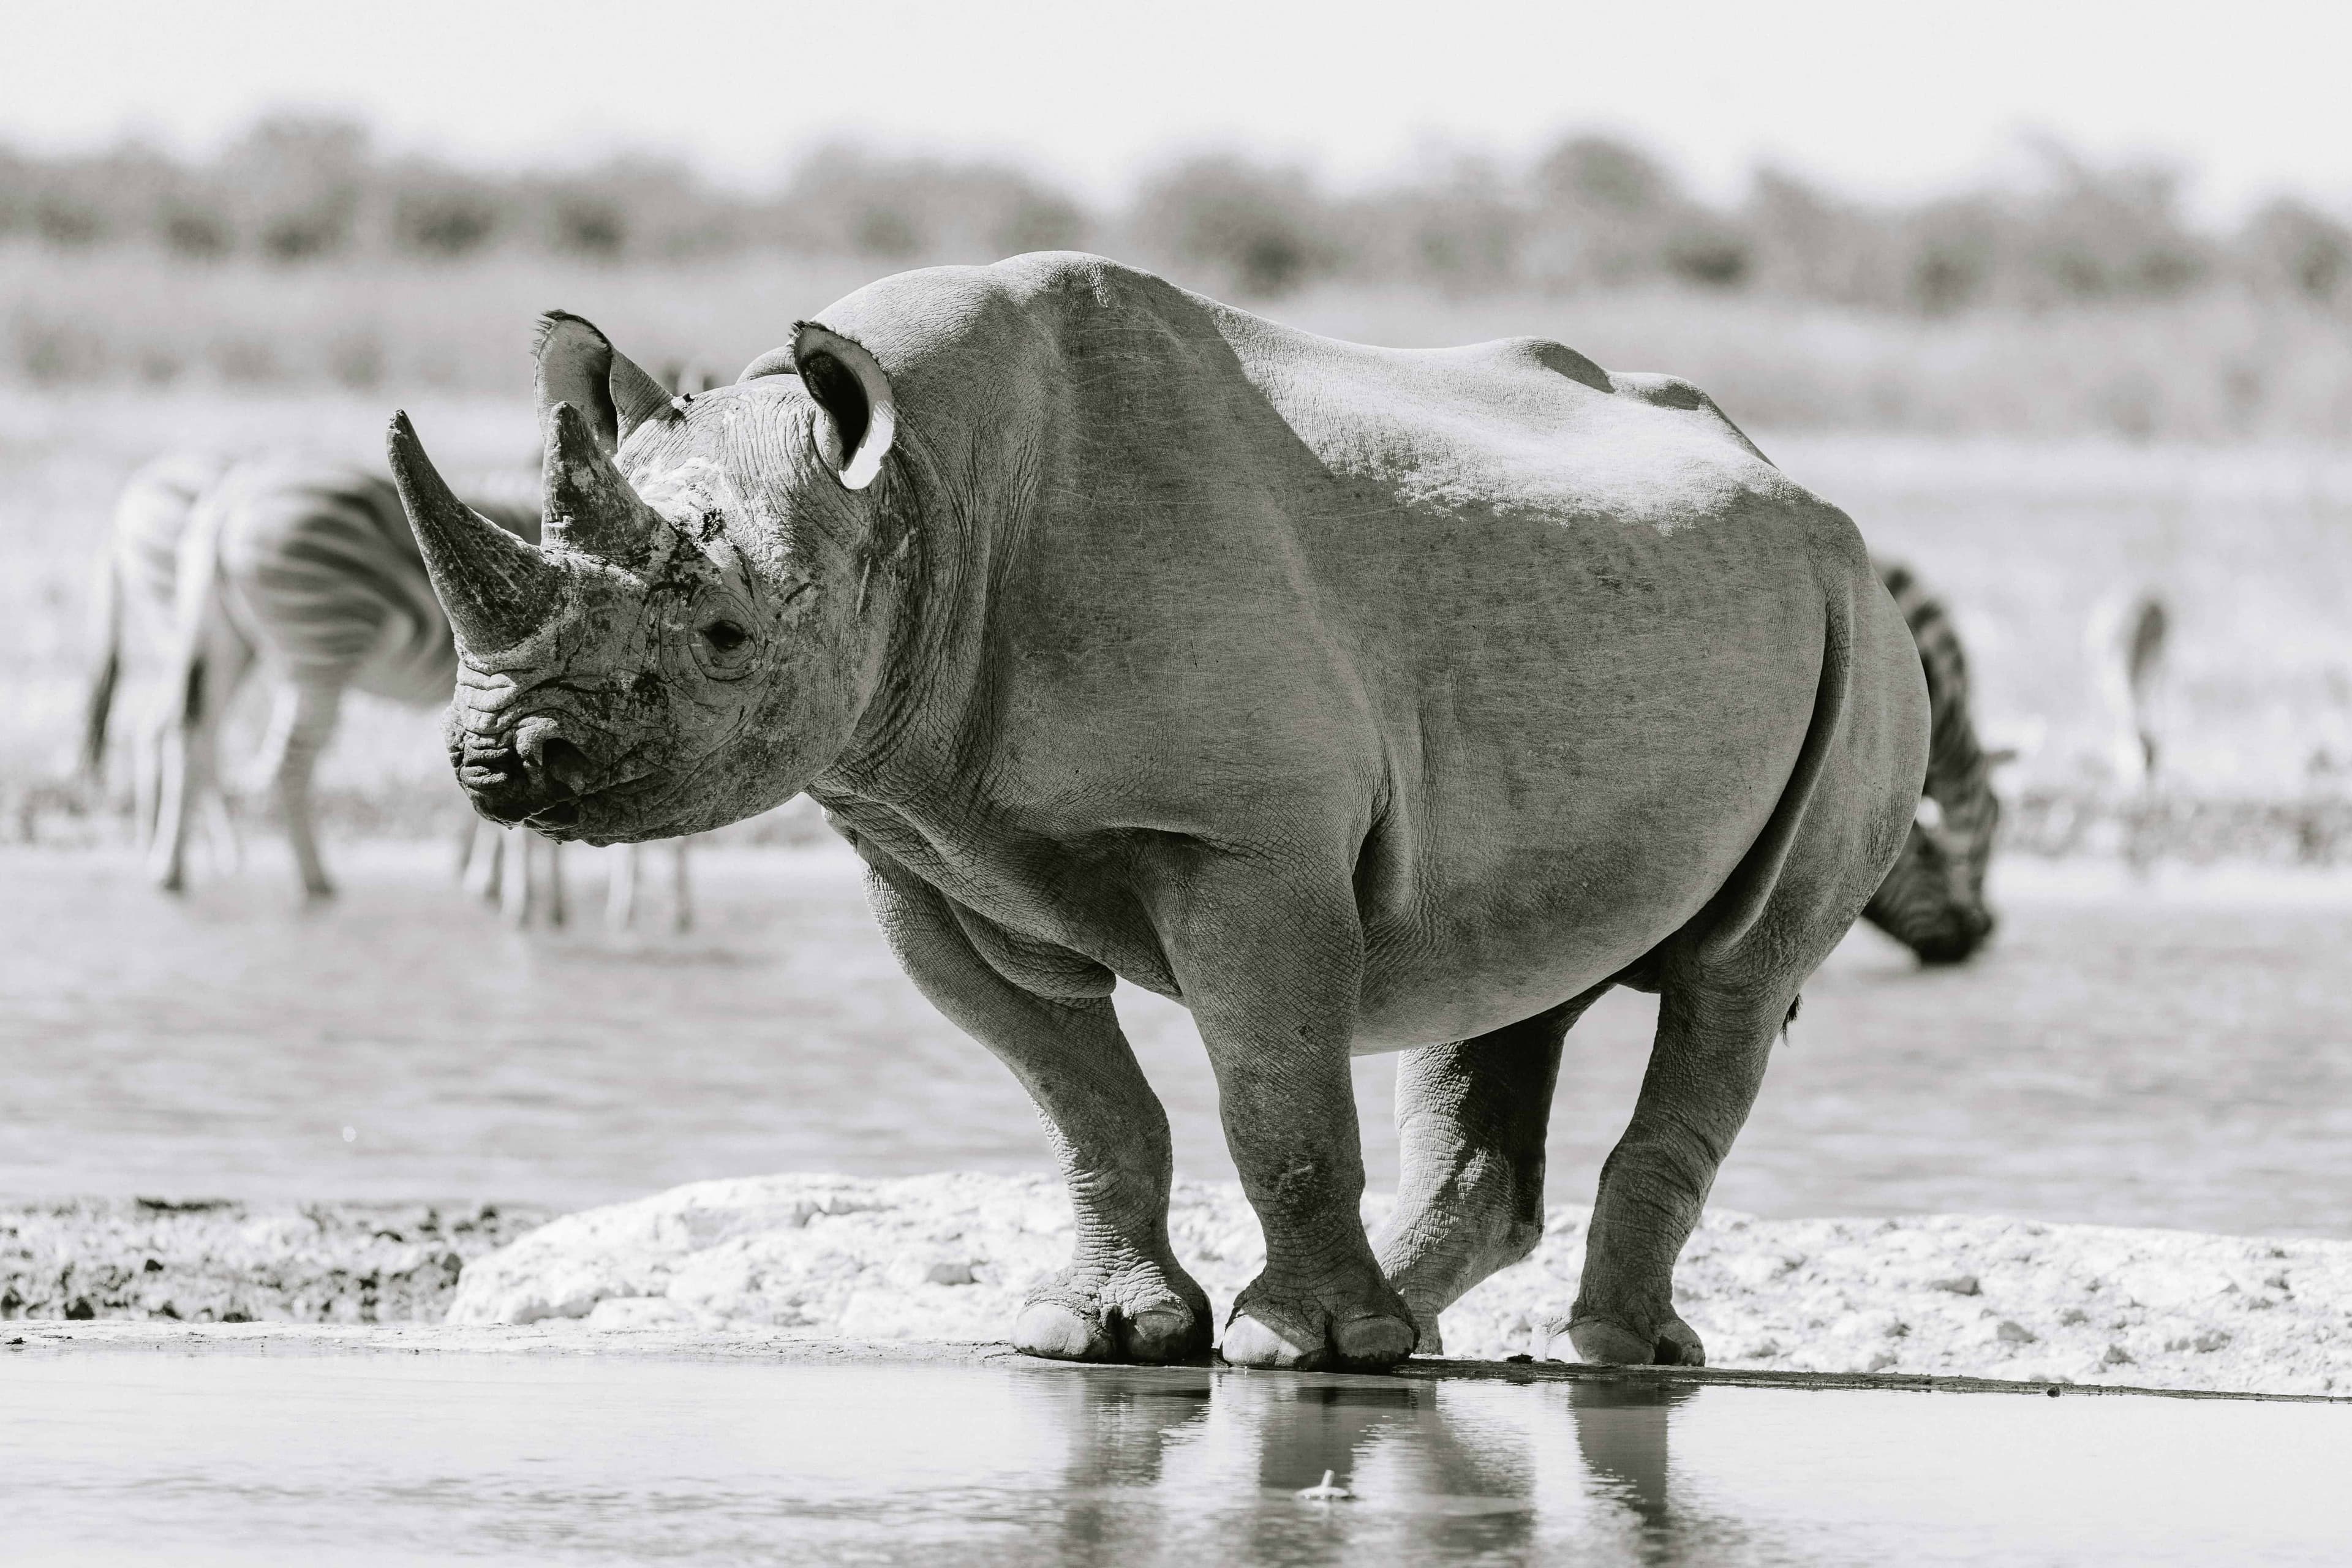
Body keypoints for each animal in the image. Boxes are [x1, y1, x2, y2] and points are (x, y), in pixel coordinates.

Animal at [388, 253, 1925, 1371]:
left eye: (720, 633)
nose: (497, 759)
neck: (915, 494)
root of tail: (1797, 484)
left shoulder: (1244, 844)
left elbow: (1269, 1089)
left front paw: (1300, 1348)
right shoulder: (919, 846)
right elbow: (1082, 1100)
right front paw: (1102, 1334)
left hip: (1860, 619)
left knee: (1734, 974)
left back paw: (1600, 1356)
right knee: (1505, 974)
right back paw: (1422, 1329)